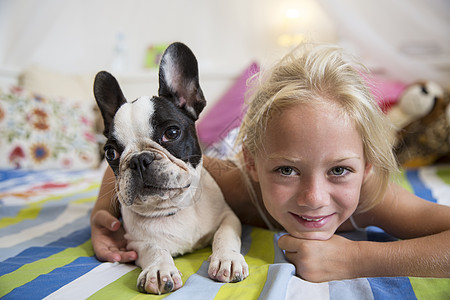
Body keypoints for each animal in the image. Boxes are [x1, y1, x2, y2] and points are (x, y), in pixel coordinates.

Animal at [93, 42, 248, 292]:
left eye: (172, 132)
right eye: (110, 152)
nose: (138, 160)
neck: (173, 208)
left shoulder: (228, 217)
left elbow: (225, 235)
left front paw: (227, 259)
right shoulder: (135, 242)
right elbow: (154, 248)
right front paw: (159, 270)